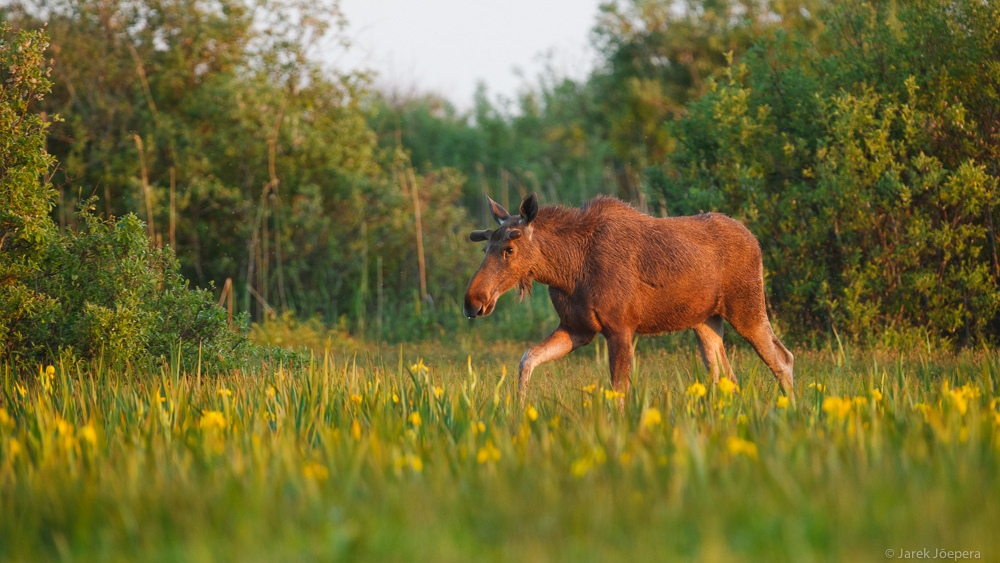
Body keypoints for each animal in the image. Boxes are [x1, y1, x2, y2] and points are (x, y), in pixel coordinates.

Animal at [464, 193, 792, 400]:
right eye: (486, 247)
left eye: (509, 249)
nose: (472, 302)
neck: (567, 270)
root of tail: (755, 240)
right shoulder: (577, 328)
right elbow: (527, 359)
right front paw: (520, 410)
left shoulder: (620, 328)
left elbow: (619, 391)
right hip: (705, 321)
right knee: (726, 376)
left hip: (747, 308)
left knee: (782, 358)